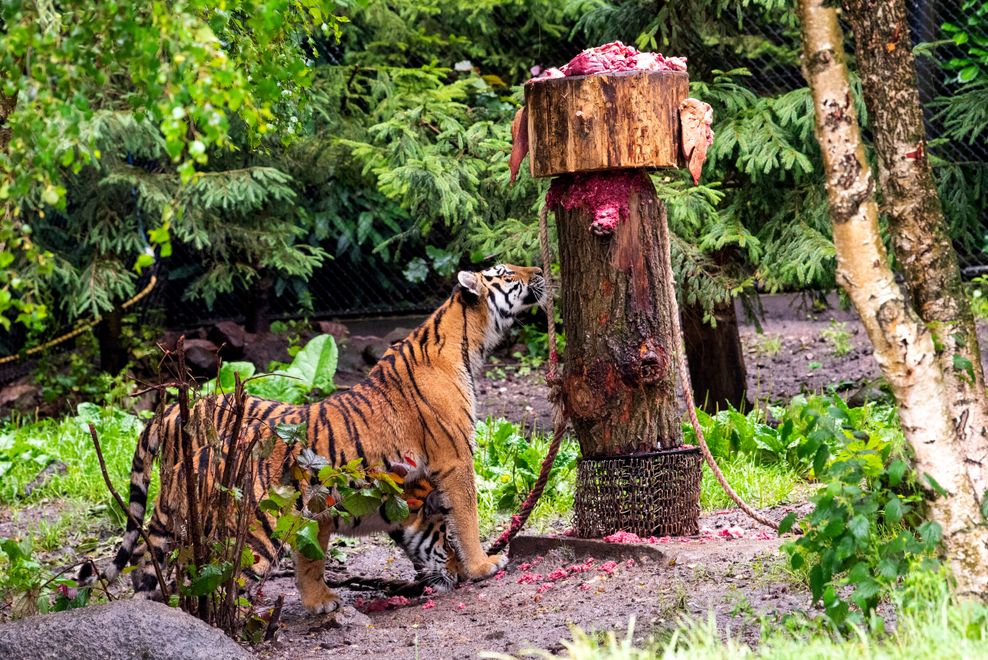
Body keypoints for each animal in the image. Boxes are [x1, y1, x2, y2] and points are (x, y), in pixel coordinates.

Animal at [83, 262, 548, 612]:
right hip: (239, 531)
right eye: (507, 272)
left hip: (175, 519)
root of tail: (164, 415)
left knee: (148, 561)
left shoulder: (321, 509)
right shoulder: (455, 459)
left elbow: (312, 558)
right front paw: (483, 565)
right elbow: (466, 515)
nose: (541, 269)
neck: (467, 342)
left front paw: (320, 601)